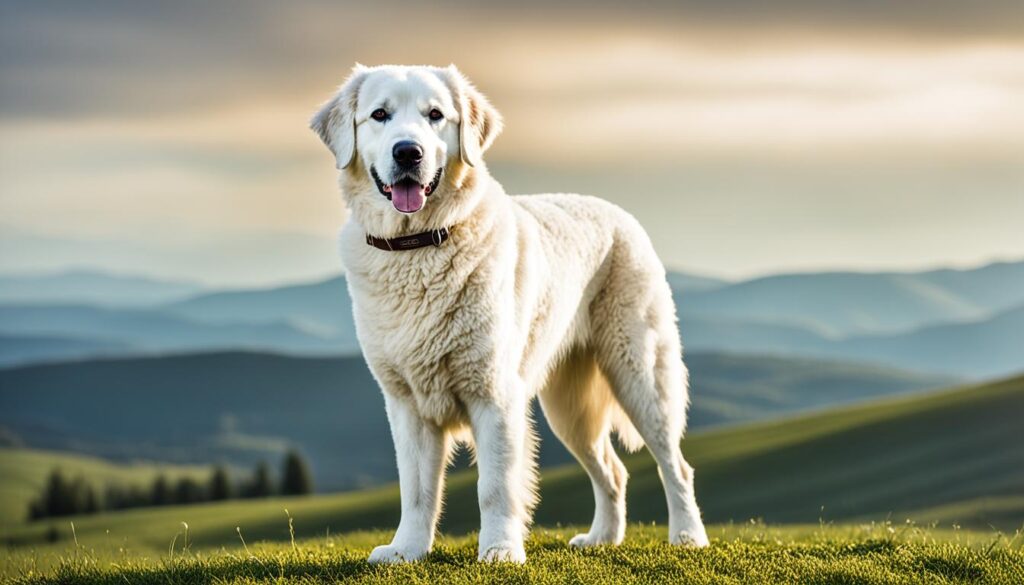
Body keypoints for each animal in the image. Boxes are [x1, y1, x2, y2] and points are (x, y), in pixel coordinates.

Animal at [311, 63, 708, 561]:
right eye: (379, 115)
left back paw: (689, 536)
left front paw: (500, 551)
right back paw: (601, 538)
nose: (408, 152)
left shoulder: (494, 395)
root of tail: (619, 213)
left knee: (676, 465)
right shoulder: (407, 405)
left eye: (435, 115)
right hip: (568, 408)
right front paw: (406, 550)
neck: (418, 246)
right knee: (612, 470)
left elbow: (495, 487)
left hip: (641, 378)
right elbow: (416, 490)